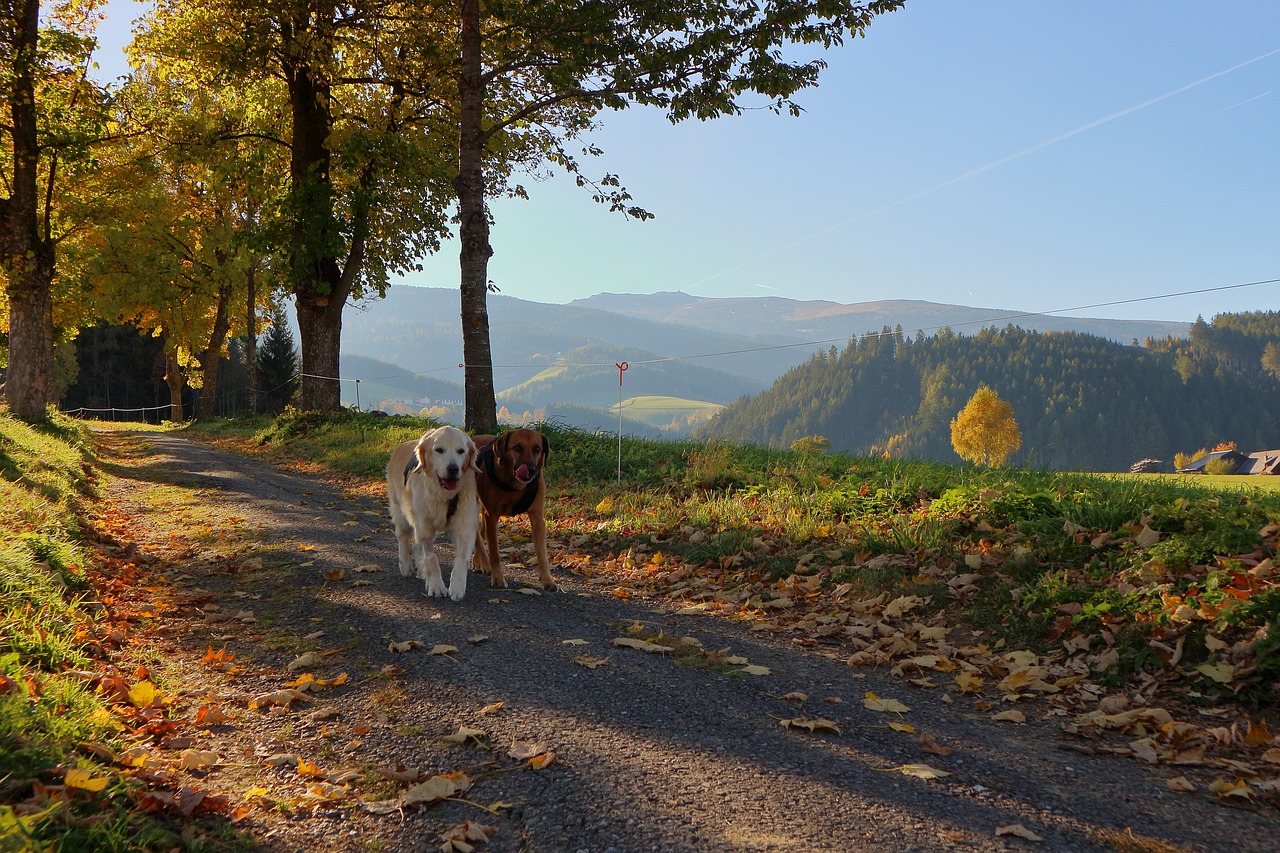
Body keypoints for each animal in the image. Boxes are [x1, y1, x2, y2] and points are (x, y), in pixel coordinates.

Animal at [384, 422, 481, 596]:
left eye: (461, 451)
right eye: (439, 450)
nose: (453, 469)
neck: (444, 495)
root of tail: (400, 446)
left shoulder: (465, 524)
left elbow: (462, 557)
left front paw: (457, 586)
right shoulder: (425, 525)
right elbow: (431, 558)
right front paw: (436, 586)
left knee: (416, 544)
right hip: (401, 511)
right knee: (402, 537)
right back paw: (405, 565)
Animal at [468, 427, 552, 589]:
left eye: (537, 449)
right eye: (517, 448)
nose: (530, 469)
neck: (515, 485)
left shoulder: (537, 517)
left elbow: (542, 553)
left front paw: (548, 580)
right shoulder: (492, 515)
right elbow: (494, 552)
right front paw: (498, 577)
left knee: (480, 531)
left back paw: (478, 560)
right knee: (477, 535)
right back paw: (484, 562)